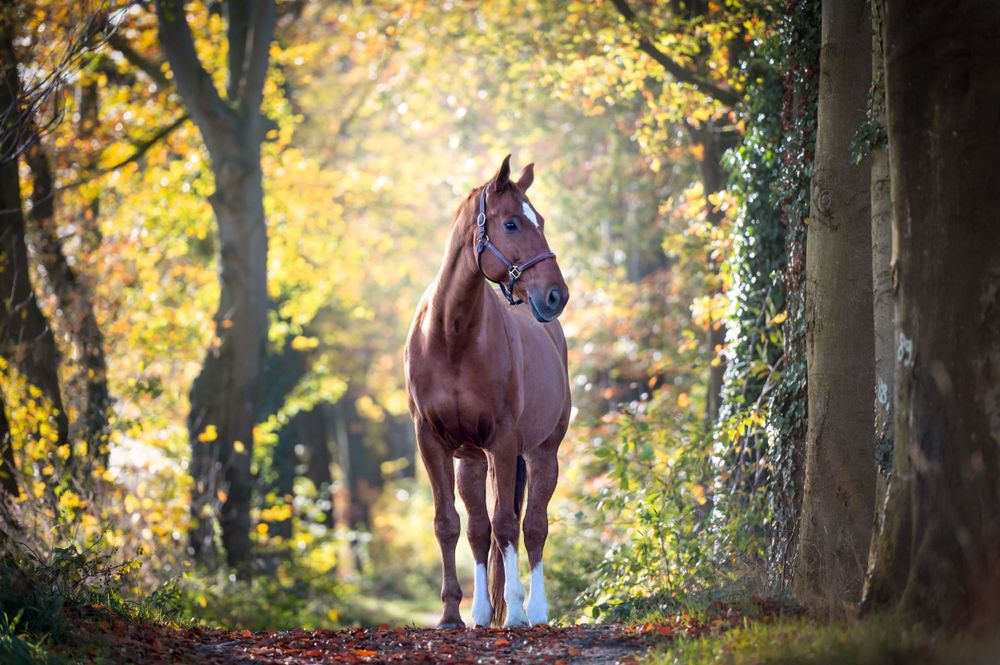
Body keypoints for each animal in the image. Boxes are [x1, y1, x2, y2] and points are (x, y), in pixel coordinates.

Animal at [404, 155, 571, 629]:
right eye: (511, 223)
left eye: (541, 221)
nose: (557, 295)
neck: (452, 337)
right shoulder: (432, 442)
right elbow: (449, 524)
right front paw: (450, 614)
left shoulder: (504, 442)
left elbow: (508, 524)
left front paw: (513, 611)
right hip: (471, 463)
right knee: (478, 531)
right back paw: (480, 613)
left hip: (541, 453)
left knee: (533, 525)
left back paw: (535, 610)